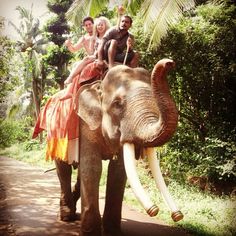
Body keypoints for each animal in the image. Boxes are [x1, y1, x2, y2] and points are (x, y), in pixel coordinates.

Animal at [54, 58, 183, 235]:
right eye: (117, 103)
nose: (169, 63)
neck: (99, 85)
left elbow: (118, 171)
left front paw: (112, 232)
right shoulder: (86, 123)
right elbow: (92, 167)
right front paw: (90, 233)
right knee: (64, 169)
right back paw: (67, 216)